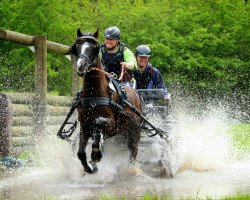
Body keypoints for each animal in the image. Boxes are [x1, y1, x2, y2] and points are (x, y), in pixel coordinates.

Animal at [71, 28, 144, 173]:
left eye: (94, 47)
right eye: (77, 46)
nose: (81, 65)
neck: (94, 95)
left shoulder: (111, 125)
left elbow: (99, 123)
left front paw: (95, 155)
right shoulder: (84, 125)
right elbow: (81, 153)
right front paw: (90, 167)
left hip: (134, 131)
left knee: (133, 153)